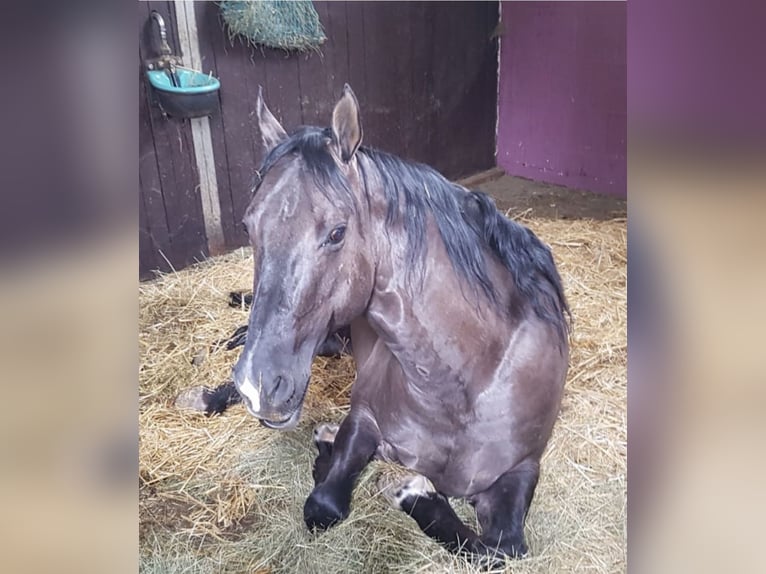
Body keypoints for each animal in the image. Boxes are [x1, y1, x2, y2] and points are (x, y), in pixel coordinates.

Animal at [231, 84, 570, 564]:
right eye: (248, 226)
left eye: (337, 232)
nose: (258, 387)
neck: (463, 383)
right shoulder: (363, 418)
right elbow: (324, 503)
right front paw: (331, 453)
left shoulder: (522, 469)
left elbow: (503, 547)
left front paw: (416, 491)